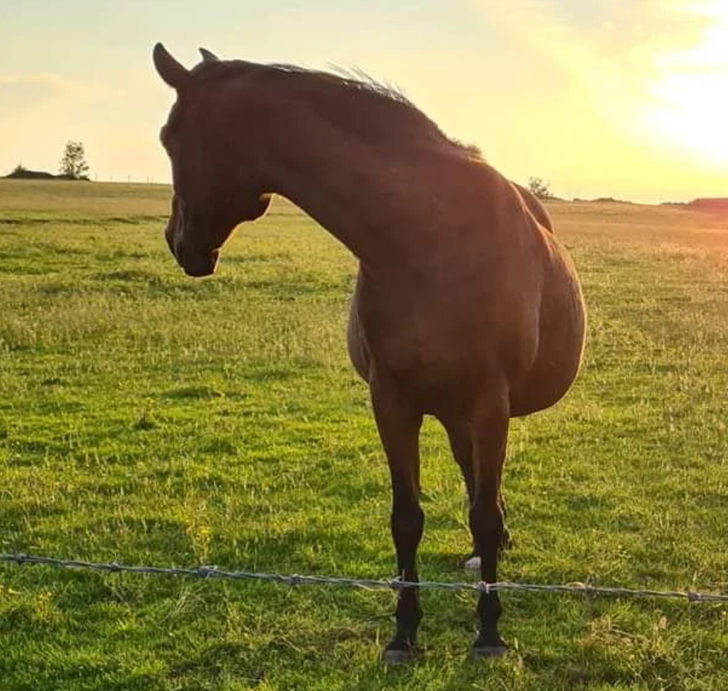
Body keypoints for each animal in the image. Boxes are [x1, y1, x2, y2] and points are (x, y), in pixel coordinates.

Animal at [154, 44, 584, 664]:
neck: (427, 238)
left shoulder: (489, 401)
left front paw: (488, 634)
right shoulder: (392, 400)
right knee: (471, 472)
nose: (178, 242)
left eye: (170, 137)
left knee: (484, 490)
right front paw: (404, 634)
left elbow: (481, 512)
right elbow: (407, 518)